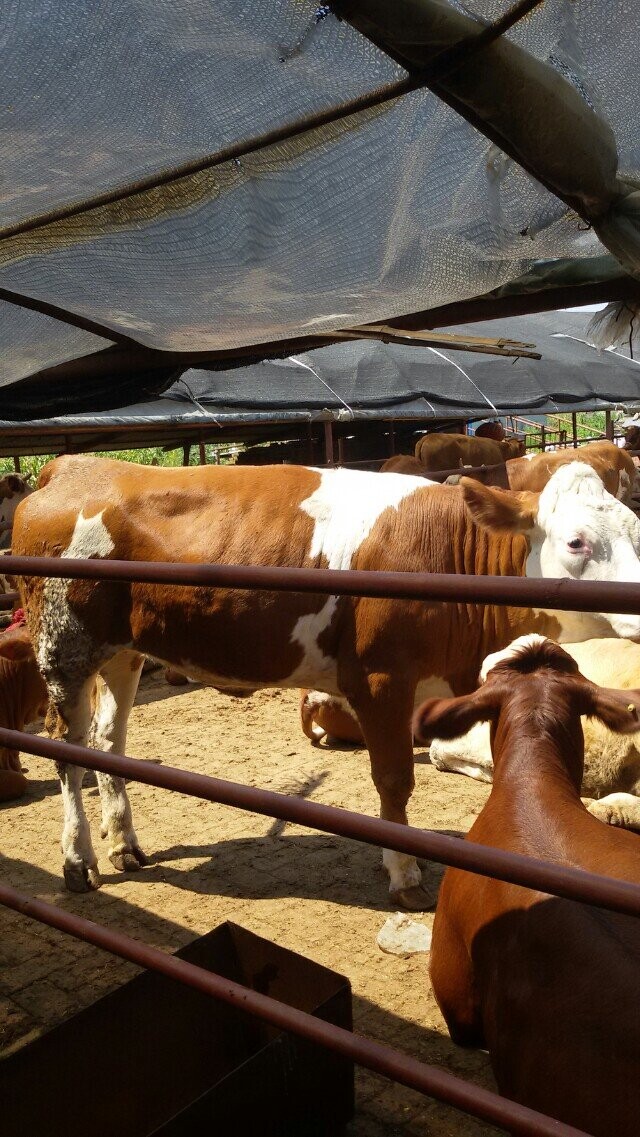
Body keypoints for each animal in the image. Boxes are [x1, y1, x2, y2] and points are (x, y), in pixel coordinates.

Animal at [13, 452, 640, 905]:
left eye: (635, 530)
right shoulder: (381, 680)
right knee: (67, 750)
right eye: (576, 541)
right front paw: (404, 874)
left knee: (107, 741)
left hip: (121, 652)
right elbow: (394, 781)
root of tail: (75, 466)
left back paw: (124, 843)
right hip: (63, 649)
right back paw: (78, 860)